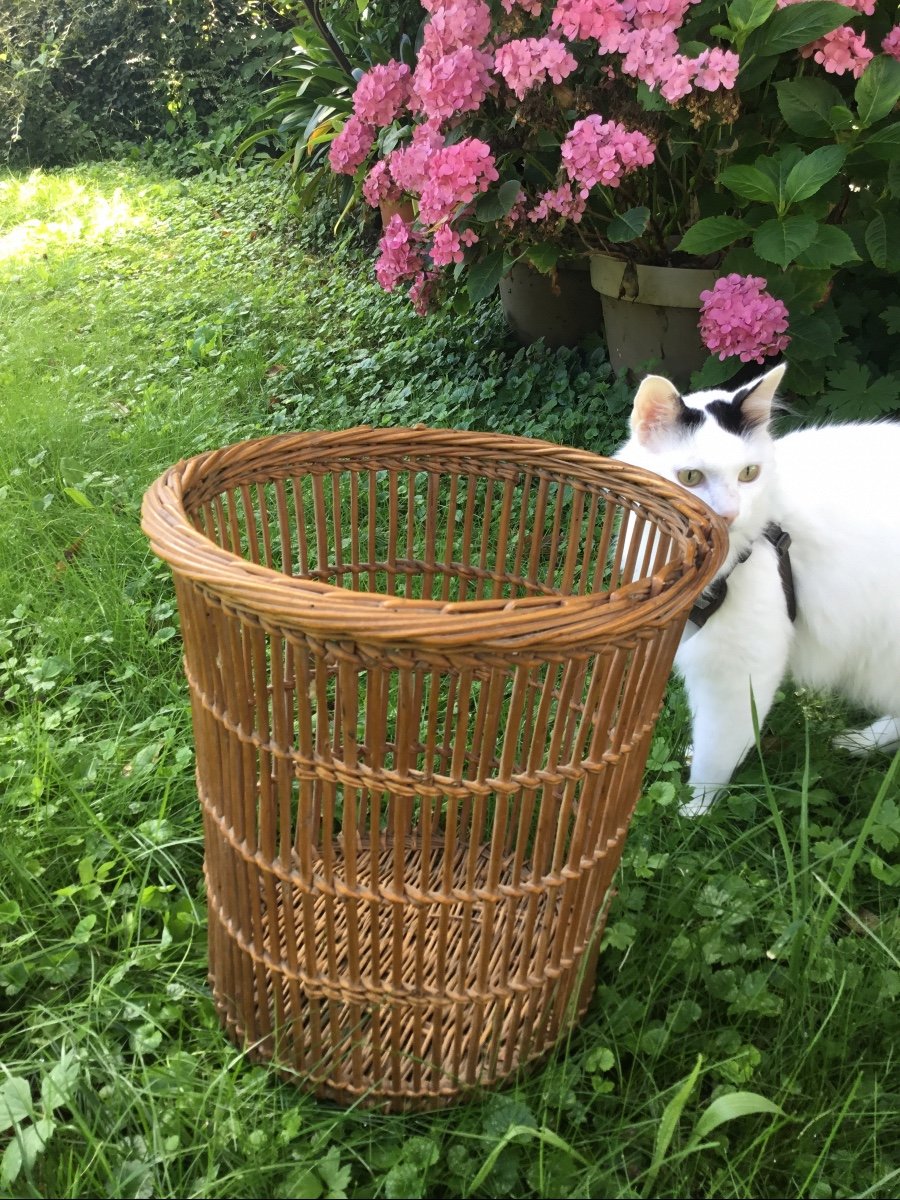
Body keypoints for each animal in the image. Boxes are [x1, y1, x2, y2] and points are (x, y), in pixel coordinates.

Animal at [619, 362, 900, 816]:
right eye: (690, 478)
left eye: (748, 474)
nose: (730, 514)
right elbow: (702, 729)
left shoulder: (739, 672)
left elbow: (717, 751)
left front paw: (695, 810)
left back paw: (862, 741)